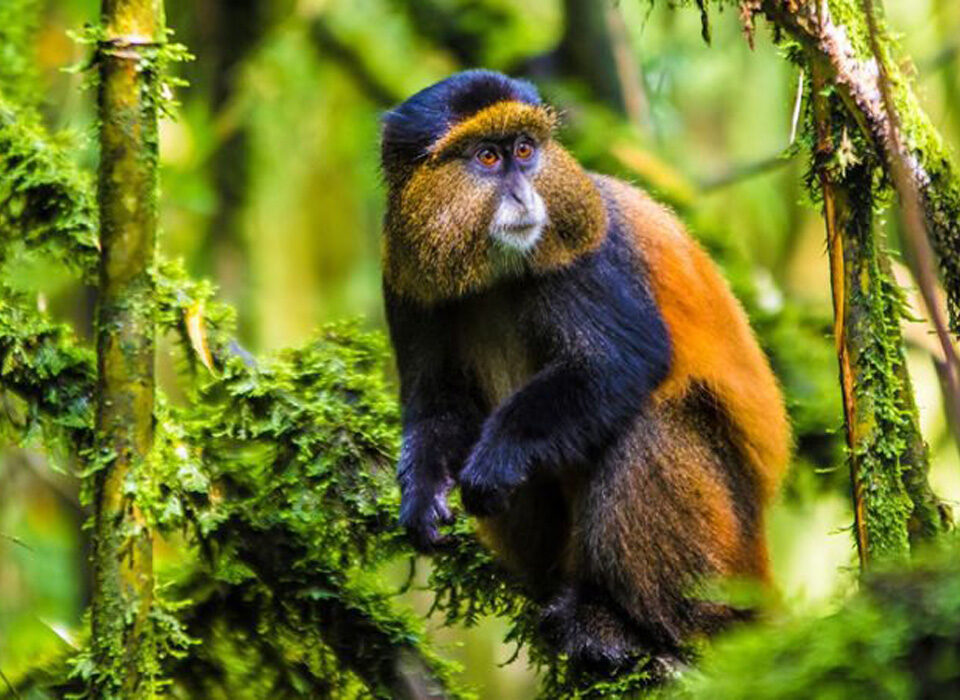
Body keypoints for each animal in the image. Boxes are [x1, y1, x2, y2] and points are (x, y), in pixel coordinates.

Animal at [380, 70, 790, 670]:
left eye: (525, 151)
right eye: (487, 157)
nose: (525, 194)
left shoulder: (586, 255)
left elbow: (620, 363)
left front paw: (498, 456)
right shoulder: (406, 281)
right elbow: (438, 405)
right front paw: (422, 492)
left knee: (650, 423)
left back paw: (627, 622)